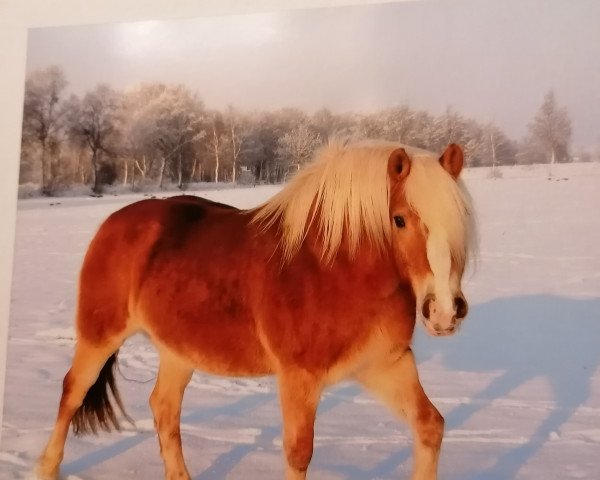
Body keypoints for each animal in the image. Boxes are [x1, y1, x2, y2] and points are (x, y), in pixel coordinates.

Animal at [36, 140, 474, 480]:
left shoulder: (385, 364)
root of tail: (115, 220)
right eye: (399, 220)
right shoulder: (299, 379)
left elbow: (430, 426)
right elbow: (299, 453)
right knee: (72, 393)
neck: (334, 268)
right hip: (100, 335)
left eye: (462, 221)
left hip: (178, 351)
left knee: (164, 408)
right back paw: (47, 467)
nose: (444, 311)